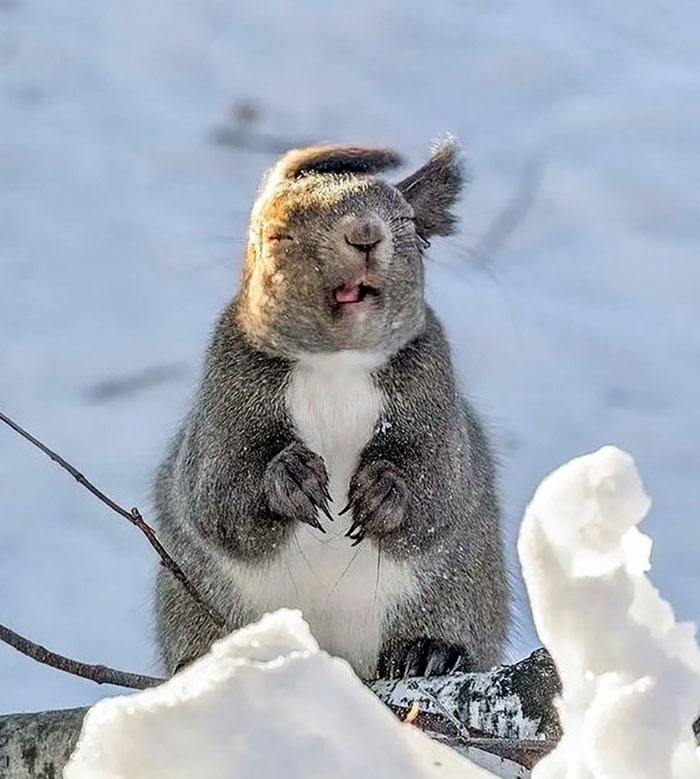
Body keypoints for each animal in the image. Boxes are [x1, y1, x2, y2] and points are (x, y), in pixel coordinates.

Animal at [154, 142, 508, 684]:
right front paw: (289, 478)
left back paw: (429, 651)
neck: (337, 364)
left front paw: (385, 490)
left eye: (406, 222)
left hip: (460, 592)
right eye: (277, 234)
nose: (365, 235)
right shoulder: (223, 399)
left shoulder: (435, 397)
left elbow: (441, 486)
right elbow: (215, 496)